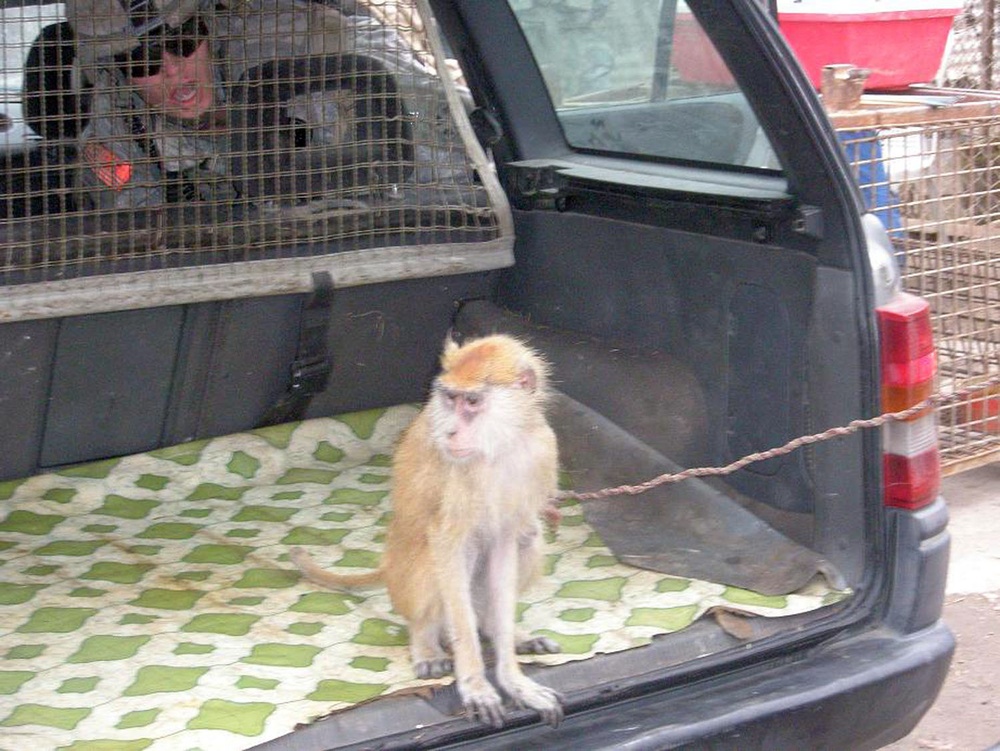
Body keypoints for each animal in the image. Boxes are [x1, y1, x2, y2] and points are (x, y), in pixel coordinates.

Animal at [290, 336, 568, 728]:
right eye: (451, 398)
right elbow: (449, 544)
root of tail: (388, 568)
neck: (498, 445)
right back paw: (426, 641)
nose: (451, 431)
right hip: (405, 576)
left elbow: (504, 543)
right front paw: (475, 685)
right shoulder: (460, 477)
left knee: (528, 537)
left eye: (472, 402)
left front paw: (513, 679)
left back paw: (500, 630)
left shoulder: (540, 450)